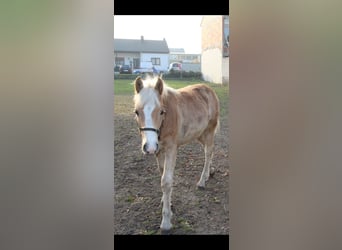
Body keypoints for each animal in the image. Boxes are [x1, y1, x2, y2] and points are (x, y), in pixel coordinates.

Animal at [132, 75, 220, 232]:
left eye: (161, 111)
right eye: (137, 112)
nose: (149, 147)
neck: (166, 121)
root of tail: (209, 89)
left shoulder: (171, 149)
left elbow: (166, 181)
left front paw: (166, 221)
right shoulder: (159, 150)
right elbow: (162, 174)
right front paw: (165, 200)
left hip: (210, 130)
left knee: (208, 152)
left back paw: (202, 181)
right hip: (199, 134)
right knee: (209, 150)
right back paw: (209, 173)